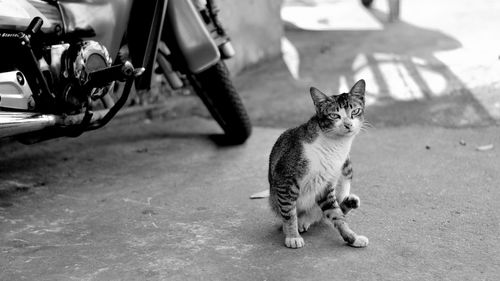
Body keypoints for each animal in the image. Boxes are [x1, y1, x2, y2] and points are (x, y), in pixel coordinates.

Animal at [268, 78, 370, 247]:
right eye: (334, 115)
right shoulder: (285, 179)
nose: (348, 124)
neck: (334, 145)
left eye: (355, 111)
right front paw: (292, 236)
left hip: (344, 173)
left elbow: (336, 214)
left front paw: (352, 237)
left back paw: (306, 220)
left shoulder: (326, 186)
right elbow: (289, 212)